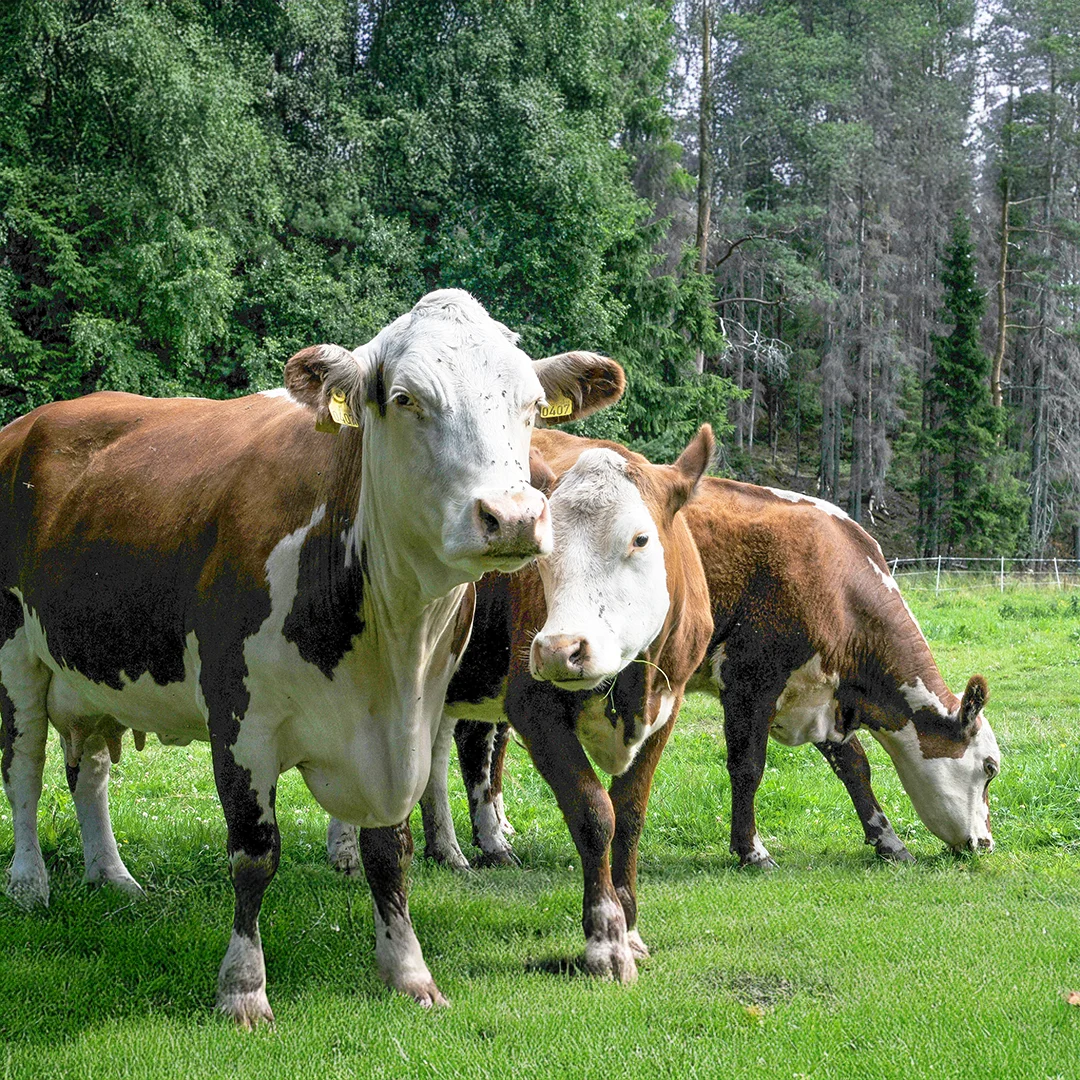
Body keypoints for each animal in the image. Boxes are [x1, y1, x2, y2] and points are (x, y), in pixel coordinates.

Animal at [0, 289, 625, 1026]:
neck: (387, 636)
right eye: (406, 398)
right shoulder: (238, 720)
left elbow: (391, 850)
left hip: (93, 670)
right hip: (16, 658)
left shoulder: (412, 722)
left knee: (90, 770)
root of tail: (35, 420)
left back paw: (111, 874)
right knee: (24, 769)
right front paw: (243, 988)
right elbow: (253, 854)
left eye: (529, 405)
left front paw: (408, 971)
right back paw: (30, 882)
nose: (515, 516)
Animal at [330, 424, 715, 981]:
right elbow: (594, 813)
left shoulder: (669, 704)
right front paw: (606, 939)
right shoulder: (533, 709)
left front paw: (631, 928)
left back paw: (449, 848)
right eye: (542, 551)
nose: (559, 648)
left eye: (640, 539)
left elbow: (630, 815)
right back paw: (345, 849)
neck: (630, 684)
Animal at [418, 477, 1000, 871]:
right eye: (990, 767)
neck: (830, 573)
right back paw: (483, 843)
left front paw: (888, 841)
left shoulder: (819, 695)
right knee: (473, 747)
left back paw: (458, 842)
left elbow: (855, 768)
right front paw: (751, 849)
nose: (986, 843)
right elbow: (748, 768)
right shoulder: (750, 681)